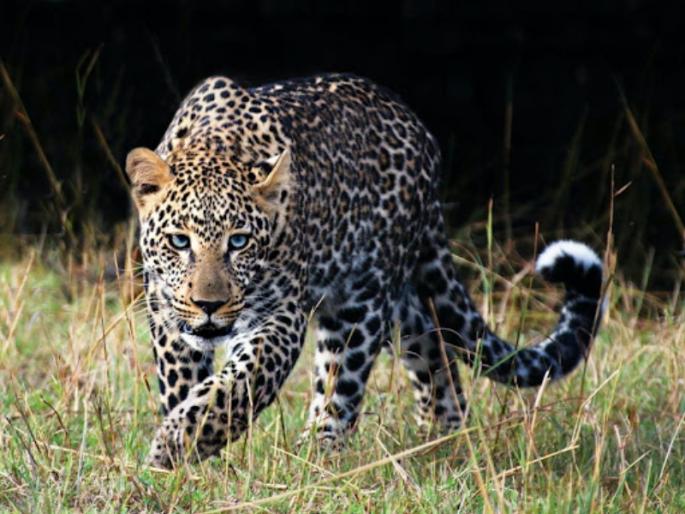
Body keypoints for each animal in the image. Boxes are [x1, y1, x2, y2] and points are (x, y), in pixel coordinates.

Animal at [125, 73, 604, 469]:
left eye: (239, 242)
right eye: (180, 241)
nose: (209, 304)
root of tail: (421, 133)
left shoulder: (280, 315)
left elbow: (240, 385)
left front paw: (173, 446)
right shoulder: (166, 312)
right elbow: (183, 383)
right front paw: (185, 461)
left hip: (362, 302)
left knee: (340, 391)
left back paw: (317, 461)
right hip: (402, 310)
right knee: (435, 353)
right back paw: (440, 442)